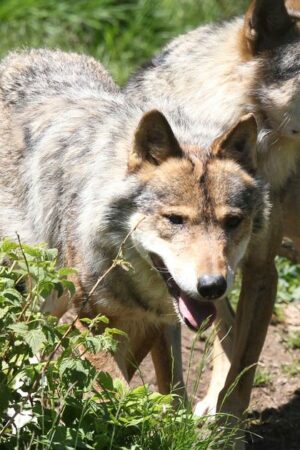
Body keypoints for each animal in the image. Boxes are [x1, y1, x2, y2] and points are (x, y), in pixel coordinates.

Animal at [0, 47, 270, 396]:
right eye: (175, 219)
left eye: (233, 222)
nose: (212, 287)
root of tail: (28, 52)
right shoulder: (87, 321)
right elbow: (116, 391)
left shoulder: (151, 323)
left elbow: (160, 391)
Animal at [126, 0, 300, 444]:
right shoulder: (171, 270)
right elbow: (171, 372)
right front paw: (176, 426)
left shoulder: (261, 270)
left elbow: (244, 367)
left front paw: (229, 432)